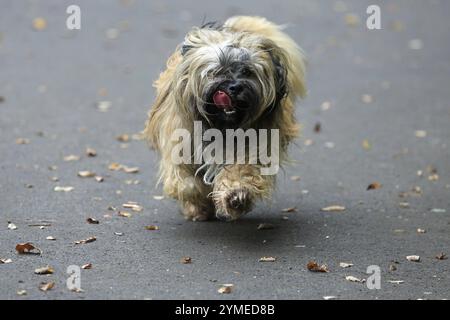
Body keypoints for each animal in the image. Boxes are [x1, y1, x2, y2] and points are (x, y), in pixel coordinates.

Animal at [144, 16, 306, 221]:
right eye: (216, 71)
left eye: (247, 72)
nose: (235, 87)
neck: (221, 126)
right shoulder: (179, 142)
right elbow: (185, 181)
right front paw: (197, 198)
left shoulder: (254, 144)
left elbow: (242, 169)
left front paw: (235, 196)